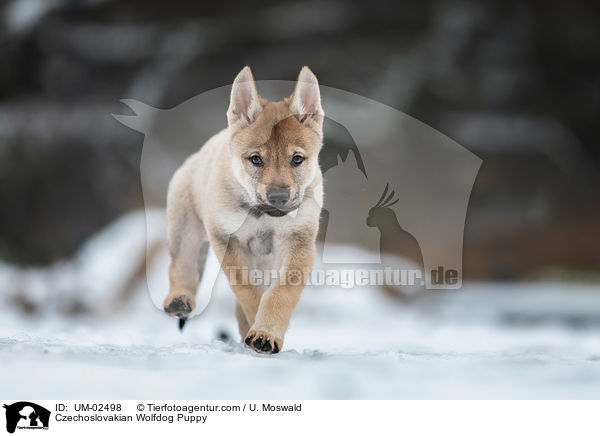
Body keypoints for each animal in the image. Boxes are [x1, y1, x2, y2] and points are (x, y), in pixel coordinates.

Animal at [162, 66, 324, 352]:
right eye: (256, 159)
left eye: (297, 159)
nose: (279, 197)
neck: (263, 217)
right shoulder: (227, 241)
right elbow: (248, 290)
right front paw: (259, 328)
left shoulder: (299, 242)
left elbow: (281, 292)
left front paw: (266, 332)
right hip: (186, 229)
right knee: (182, 265)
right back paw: (179, 299)